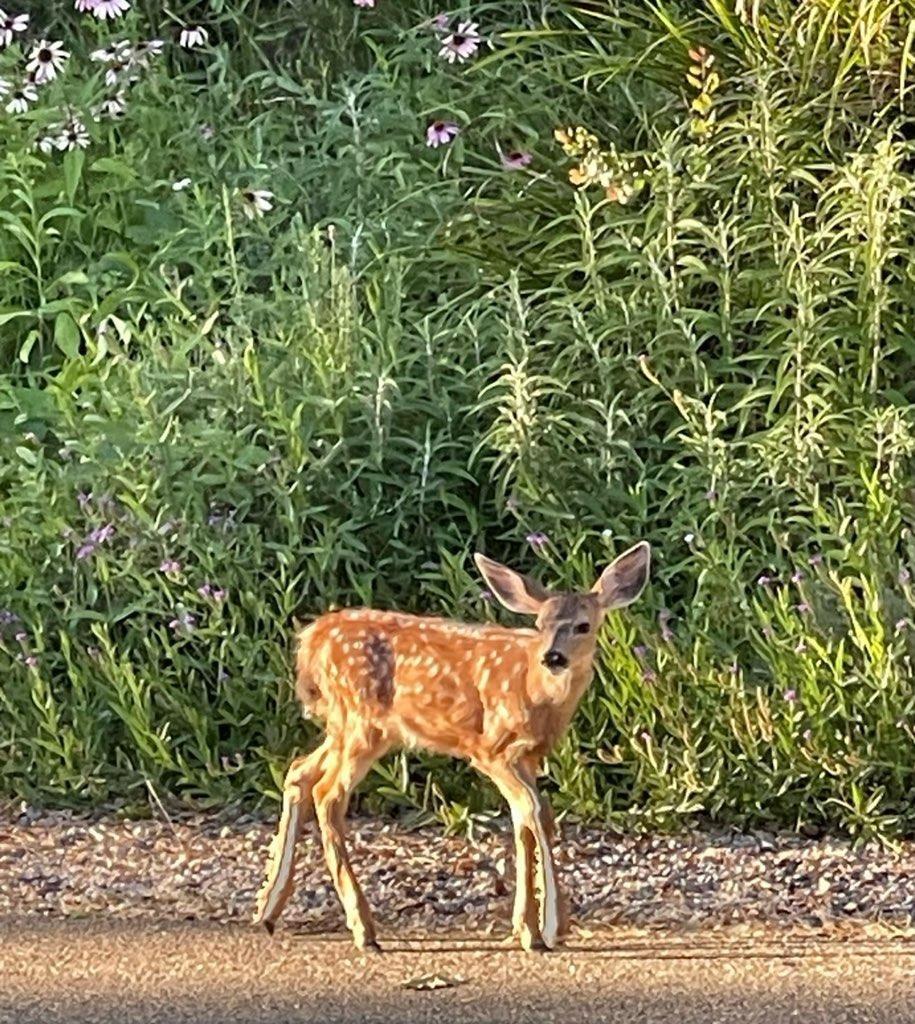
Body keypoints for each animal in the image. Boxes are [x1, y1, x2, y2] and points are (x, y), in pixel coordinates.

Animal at [253, 544, 646, 950]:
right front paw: (549, 927)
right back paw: (363, 929)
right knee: (328, 794)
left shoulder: (527, 756)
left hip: (350, 726)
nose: (553, 657)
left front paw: (528, 927)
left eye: (584, 625)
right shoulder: (489, 749)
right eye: (540, 624)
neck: (535, 692)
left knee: (299, 772)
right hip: (360, 721)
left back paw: (268, 911)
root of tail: (311, 641)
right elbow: (535, 812)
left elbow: (526, 819)